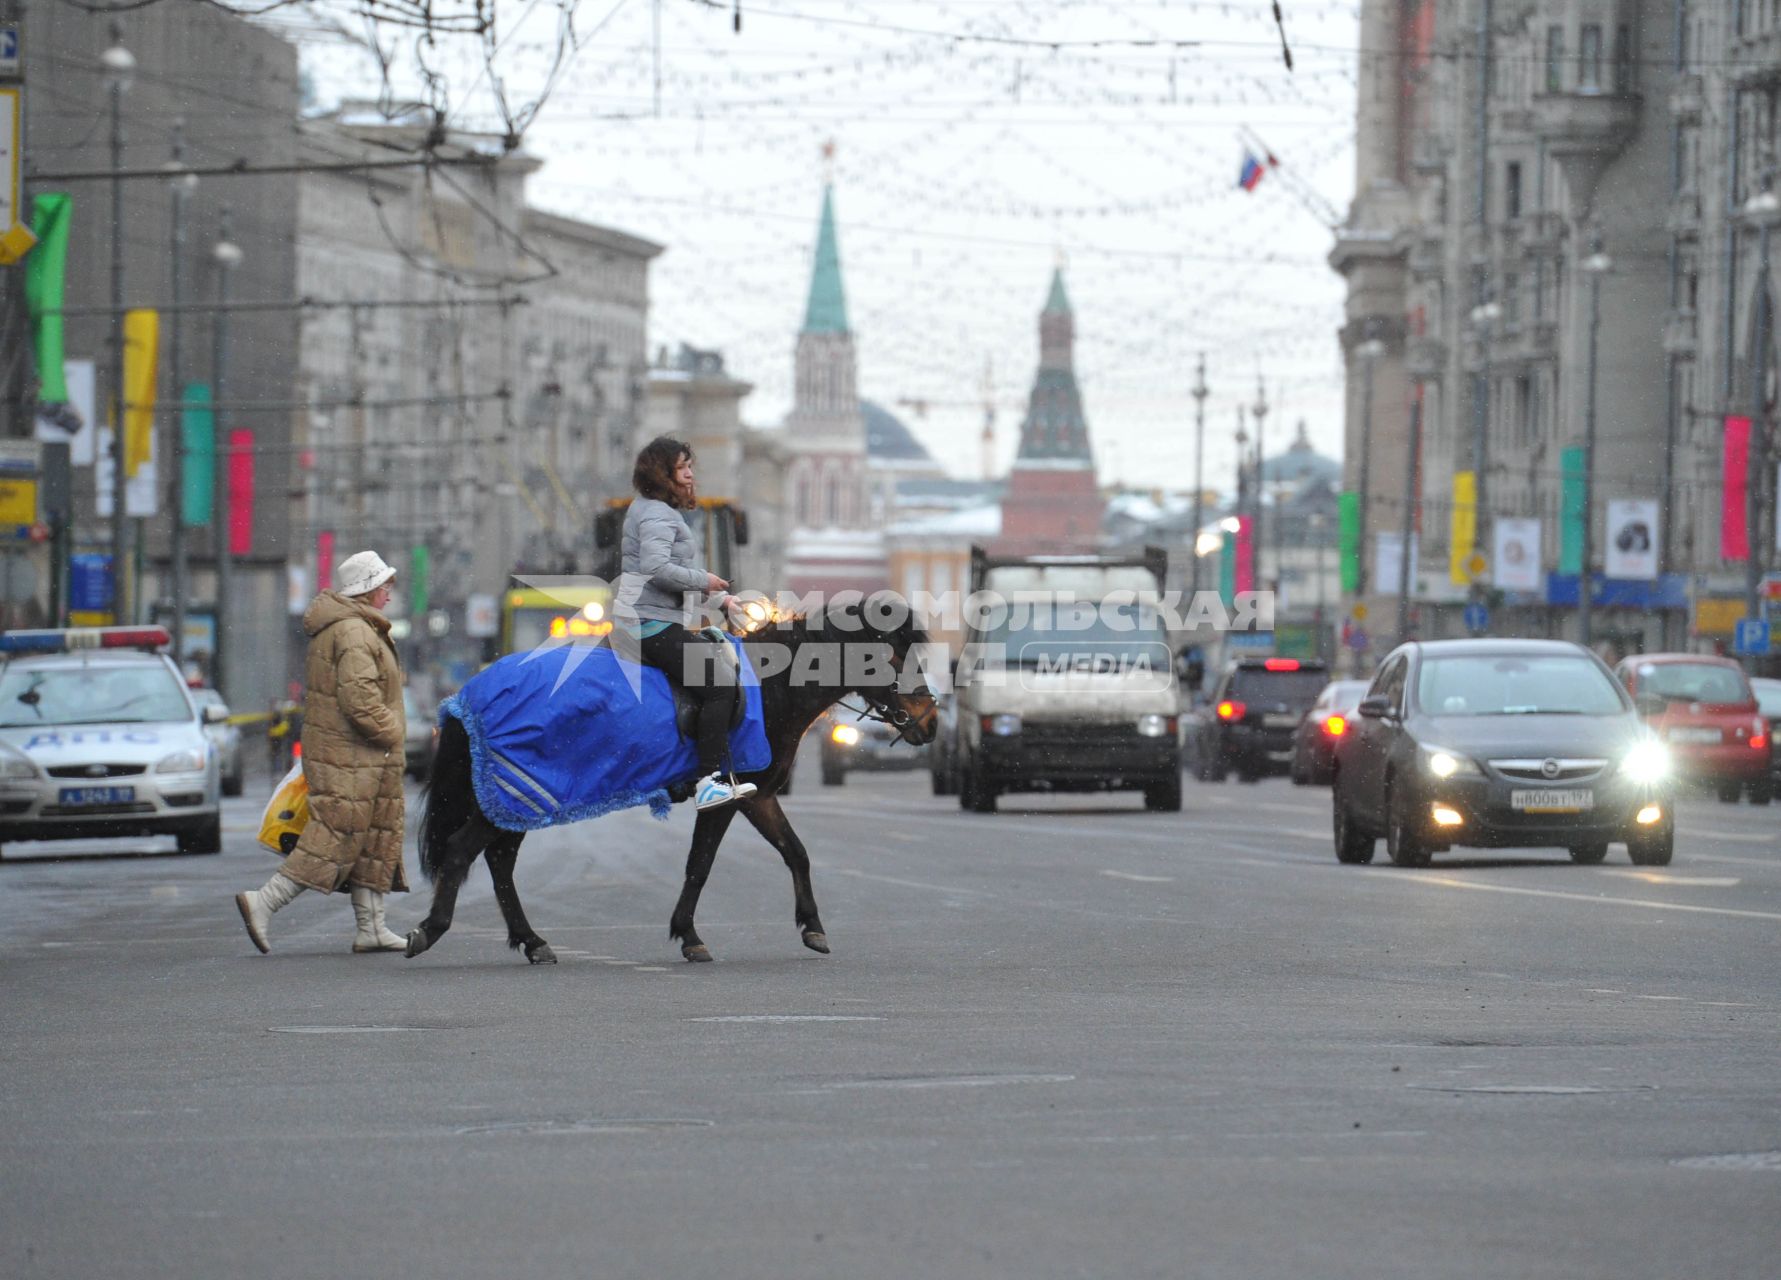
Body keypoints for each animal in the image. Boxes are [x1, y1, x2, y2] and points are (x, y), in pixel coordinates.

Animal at [407, 594, 947, 968]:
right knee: (462, 850)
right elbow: (700, 865)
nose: (930, 723)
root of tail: (468, 694)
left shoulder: (761, 797)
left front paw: (812, 925)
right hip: (520, 793)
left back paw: (532, 941)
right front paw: (689, 935)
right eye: (894, 658)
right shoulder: (731, 797)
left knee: (500, 861)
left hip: (518, 799)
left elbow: (795, 852)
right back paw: (431, 929)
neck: (768, 685)